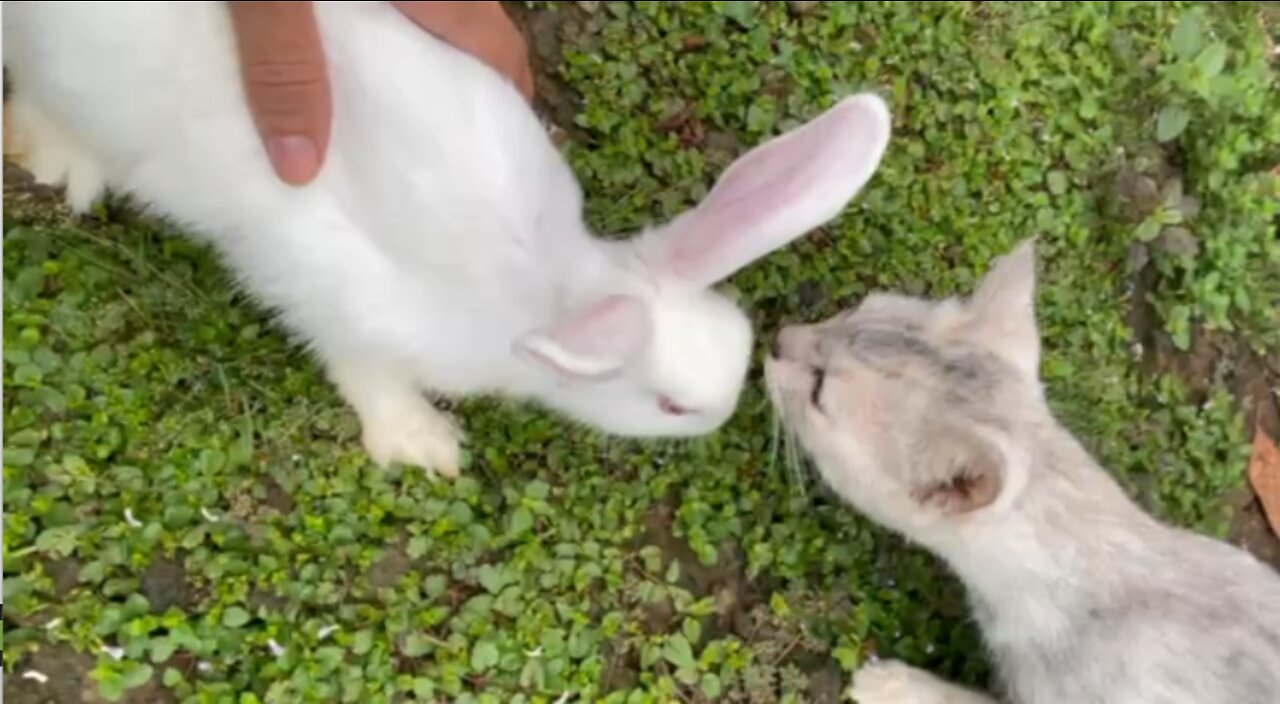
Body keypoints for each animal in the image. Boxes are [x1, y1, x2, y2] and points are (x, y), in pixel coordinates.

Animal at [2, 1, 890, 481]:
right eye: (672, 405)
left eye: (742, 346)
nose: (724, 417)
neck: (546, 292)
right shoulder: (331, 294)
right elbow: (361, 370)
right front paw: (424, 443)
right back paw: (60, 160)